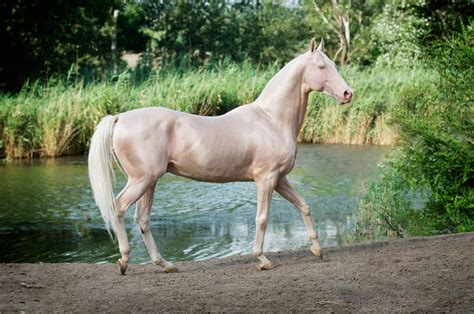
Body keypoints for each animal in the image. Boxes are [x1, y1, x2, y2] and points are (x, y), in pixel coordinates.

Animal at [88, 37, 352, 274]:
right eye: (321, 66)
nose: (347, 93)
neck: (271, 119)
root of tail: (119, 118)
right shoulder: (266, 179)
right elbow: (262, 218)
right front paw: (262, 259)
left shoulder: (280, 179)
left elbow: (304, 206)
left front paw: (317, 250)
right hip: (141, 180)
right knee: (118, 208)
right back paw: (124, 261)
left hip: (149, 183)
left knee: (142, 220)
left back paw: (166, 265)